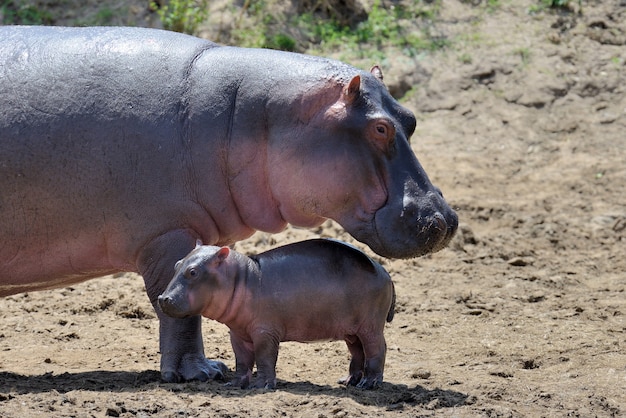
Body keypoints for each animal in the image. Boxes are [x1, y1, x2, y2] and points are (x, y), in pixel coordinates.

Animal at [156, 240, 392, 390]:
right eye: (177, 264)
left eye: (193, 272)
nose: (162, 298)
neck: (242, 278)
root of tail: (383, 271)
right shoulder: (238, 334)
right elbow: (242, 360)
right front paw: (234, 384)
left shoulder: (265, 332)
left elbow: (264, 357)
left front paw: (262, 386)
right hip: (351, 331)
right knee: (358, 352)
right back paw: (348, 381)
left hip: (370, 326)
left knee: (377, 349)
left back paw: (369, 384)